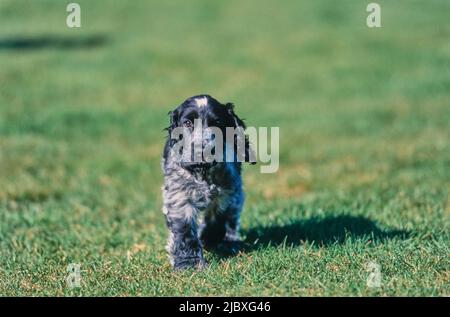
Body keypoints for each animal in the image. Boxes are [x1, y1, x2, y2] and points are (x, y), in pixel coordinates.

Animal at [162, 94, 255, 270]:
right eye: (188, 122)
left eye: (216, 122)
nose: (201, 150)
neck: (202, 172)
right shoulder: (179, 198)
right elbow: (184, 231)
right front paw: (189, 263)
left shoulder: (228, 192)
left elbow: (217, 216)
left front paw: (209, 239)